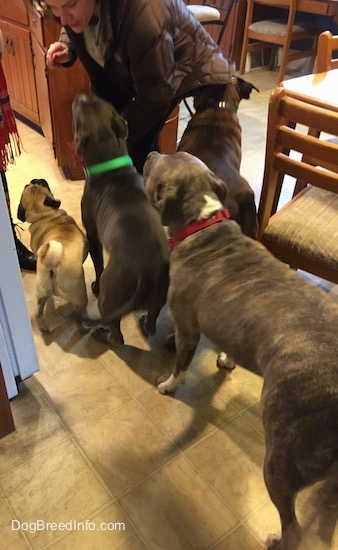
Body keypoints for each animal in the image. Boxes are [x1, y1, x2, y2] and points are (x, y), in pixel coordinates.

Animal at [17, 181, 88, 334]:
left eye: (36, 183)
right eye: (40, 183)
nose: (35, 179)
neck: (44, 215)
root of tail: (50, 264)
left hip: (41, 293)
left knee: (38, 313)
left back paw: (43, 328)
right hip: (80, 295)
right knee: (77, 317)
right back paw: (84, 328)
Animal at [144, 153, 338, 550]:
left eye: (160, 166)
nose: (152, 154)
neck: (202, 223)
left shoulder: (187, 329)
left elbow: (180, 367)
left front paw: (168, 385)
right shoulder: (231, 323)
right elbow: (229, 346)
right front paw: (226, 361)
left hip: (282, 458)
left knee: (294, 526)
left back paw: (277, 540)